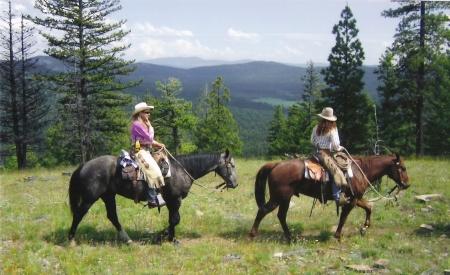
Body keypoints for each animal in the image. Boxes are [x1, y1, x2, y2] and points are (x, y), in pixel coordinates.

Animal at [248, 153, 410, 244]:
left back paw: (290, 237)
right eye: (402, 168)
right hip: (278, 197)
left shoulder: (356, 198)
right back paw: (251, 236)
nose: (407, 184)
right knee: (263, 211)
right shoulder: (351, 201)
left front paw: (364, 228)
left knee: (281, 215)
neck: (361, 171)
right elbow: (343, 218)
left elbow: (369, 207)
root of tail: (276, 164)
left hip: (285, 199)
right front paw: (338, 236)